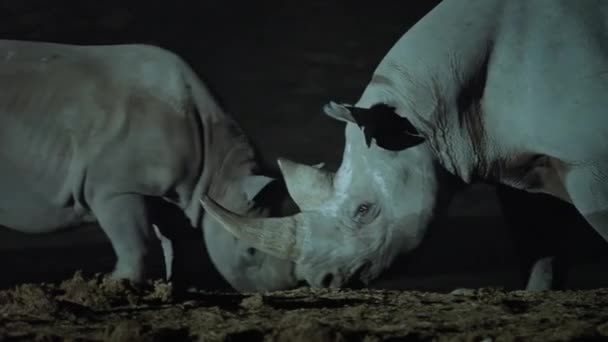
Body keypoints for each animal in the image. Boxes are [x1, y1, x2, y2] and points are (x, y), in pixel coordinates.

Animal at [0, 40, 302, 292]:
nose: (280, 288)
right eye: (250, 252)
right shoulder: (116, 187)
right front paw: (121, 285)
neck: (220, 172)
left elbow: (178, 244)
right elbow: (135, 242)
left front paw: (176, 287)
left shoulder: (175, 190)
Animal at [202, 0, 608, 288]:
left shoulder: (590, 160)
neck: (423, 113)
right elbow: (540, 250)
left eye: (364, 210)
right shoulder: (517, 167)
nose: (320, 281)